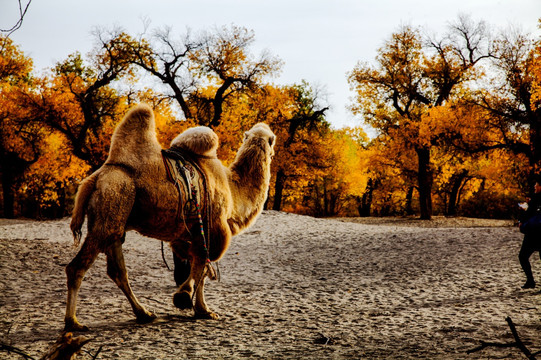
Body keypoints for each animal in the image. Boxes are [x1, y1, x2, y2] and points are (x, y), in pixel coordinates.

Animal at [65, 104, 274, 332]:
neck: (233, 190)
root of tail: (94, 179)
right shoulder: (215, 227)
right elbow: (203, 263)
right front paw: (185, 298)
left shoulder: (189, 233)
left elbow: (199, 265)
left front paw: (202, 310)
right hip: (112, 201)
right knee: (77, 267)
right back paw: (73, 322)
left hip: (115, 219)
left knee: (118, 271)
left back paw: (144, 313)